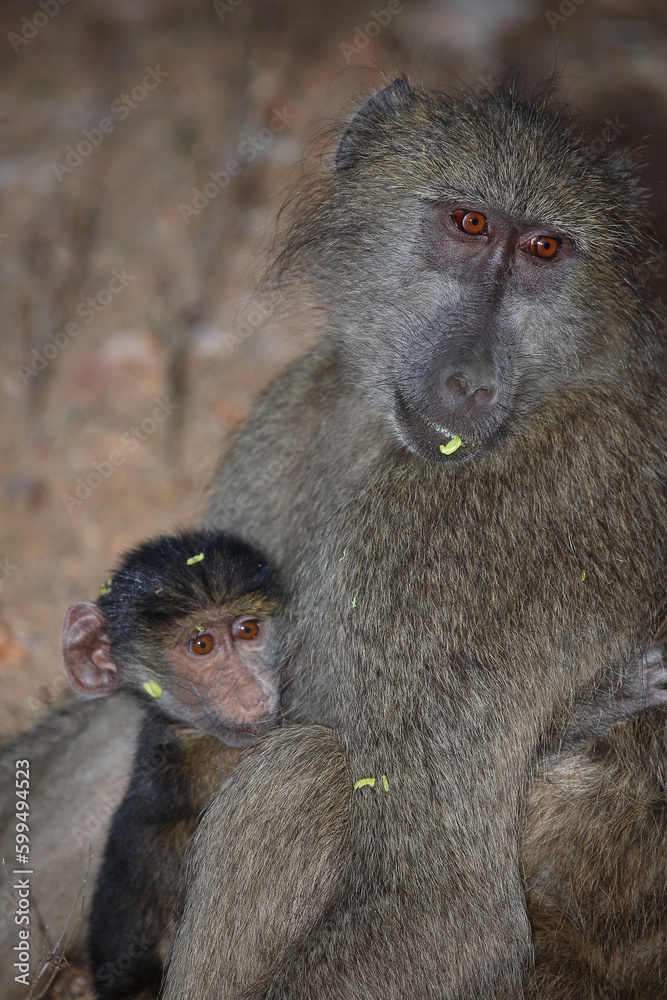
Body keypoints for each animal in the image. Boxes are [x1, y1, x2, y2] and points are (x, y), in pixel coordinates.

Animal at [161, 80, 667, 999]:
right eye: (469, 225)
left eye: (543, 249)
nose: (469, 383)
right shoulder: (303, 410)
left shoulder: (440, 542)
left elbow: (440, 908)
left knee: (301, 776)